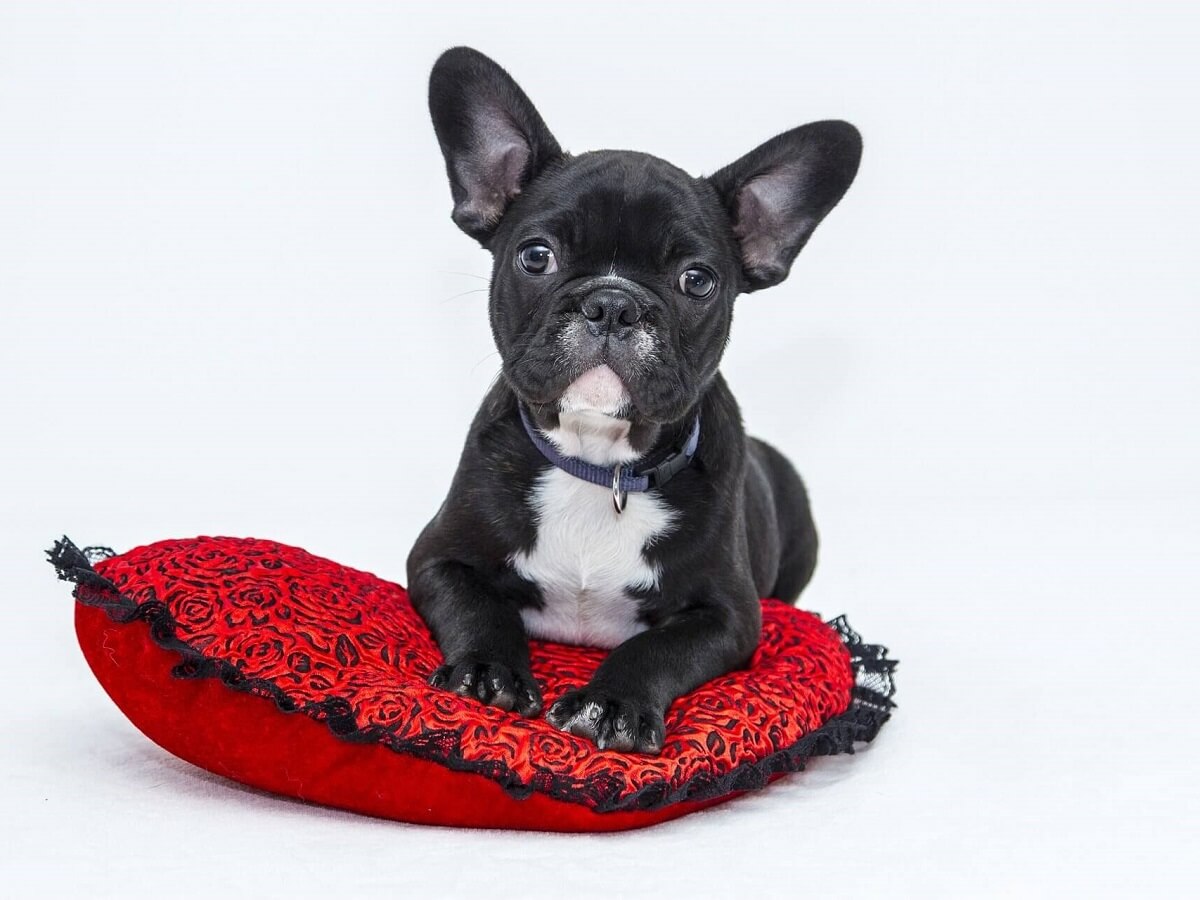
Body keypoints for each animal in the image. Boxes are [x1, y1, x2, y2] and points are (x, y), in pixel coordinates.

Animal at [408, 47, 859, 753]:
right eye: (536, 256)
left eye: (697, 281)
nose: (613, 303)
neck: (600, 463)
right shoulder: (436, 558)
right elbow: (477, 607)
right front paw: (487, 671)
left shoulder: (728, 616)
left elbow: (655, 650)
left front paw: (612, 704)